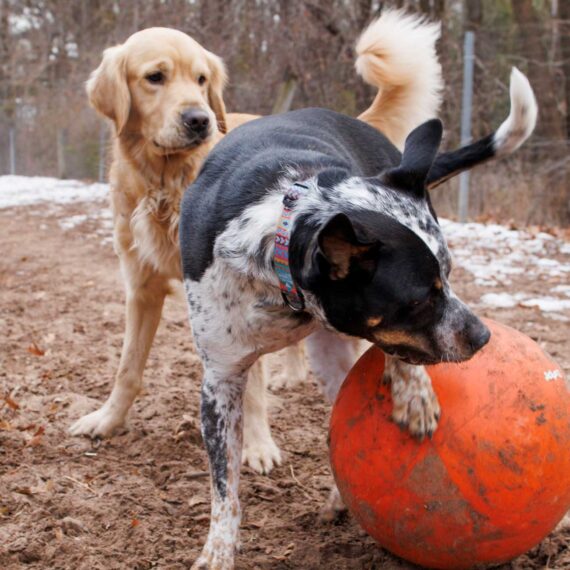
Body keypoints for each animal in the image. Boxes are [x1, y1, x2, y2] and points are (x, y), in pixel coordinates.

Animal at [181, 67, 532, 568]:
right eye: (420, 300)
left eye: (448, 274)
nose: (483, 337)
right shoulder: (221, 379)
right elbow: (224, 489)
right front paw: (217, 552)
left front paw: (414, 393)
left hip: (331, 355)